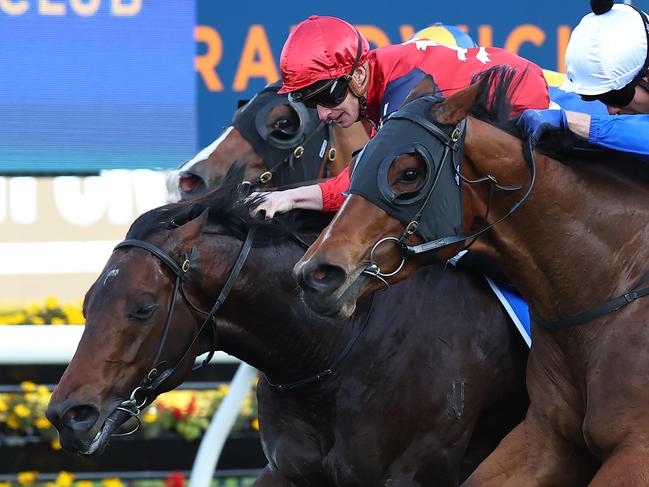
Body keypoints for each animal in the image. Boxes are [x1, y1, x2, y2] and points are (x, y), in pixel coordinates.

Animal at [294, 66, 649, 486]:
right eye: (358, 160)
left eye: (409, 173)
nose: (315, 274)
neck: (612, 278)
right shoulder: (543, 434)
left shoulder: (635, 450)